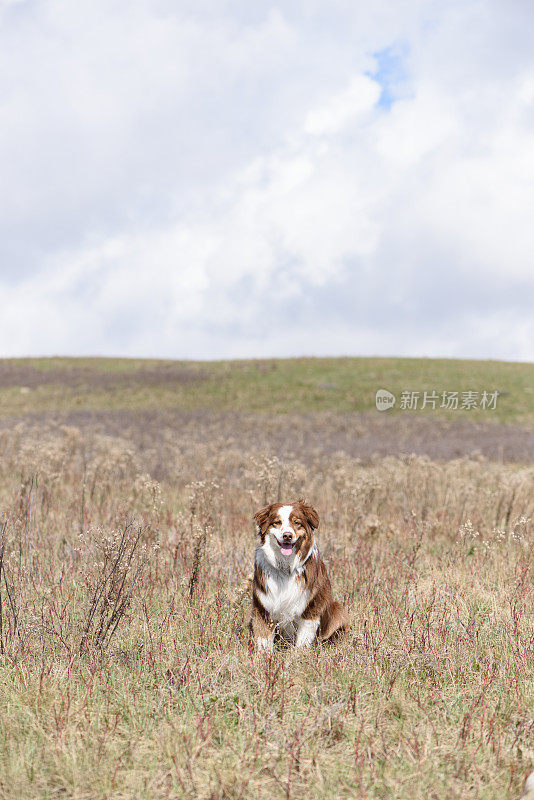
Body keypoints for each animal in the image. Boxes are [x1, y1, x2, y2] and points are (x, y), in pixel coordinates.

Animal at [251, 496, 348, 652]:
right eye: (277, 522)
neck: (285, 567)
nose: (287, 536)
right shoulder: (263, 607)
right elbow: (264, 639)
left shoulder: (310, 609)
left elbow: (303, 641)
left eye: (297, 523)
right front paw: (264, 657)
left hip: (338, 610)